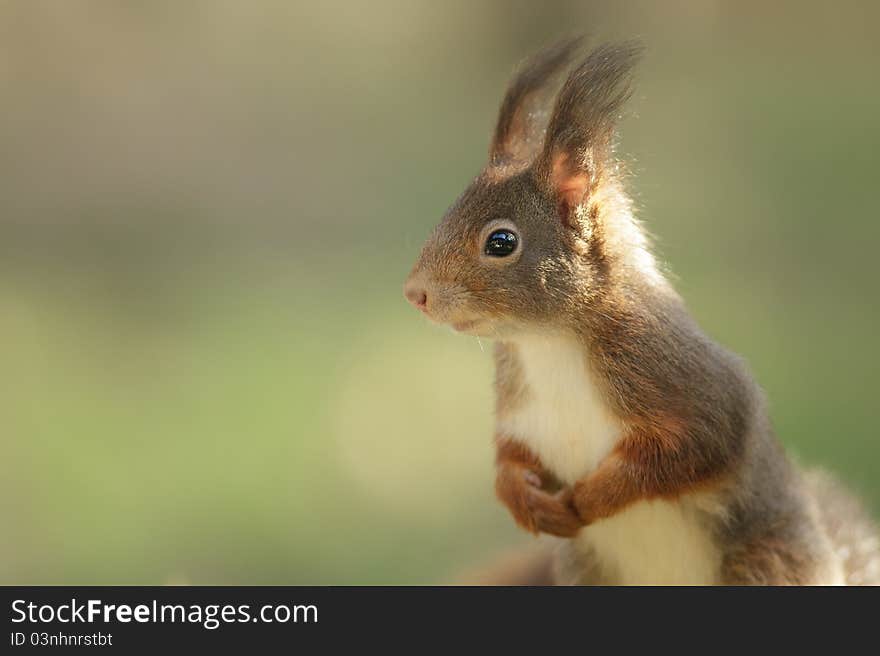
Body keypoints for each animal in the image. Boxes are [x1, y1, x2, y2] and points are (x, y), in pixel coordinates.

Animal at [406, 37, 880, 584]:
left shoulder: (681, 379)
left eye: (501, 242)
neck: (548, 342)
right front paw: (522, 498)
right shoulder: (520, 413)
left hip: (767, 560)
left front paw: (592, 498)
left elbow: (688, 448)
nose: (414, 293)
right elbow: (509, 457)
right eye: (448, 211)